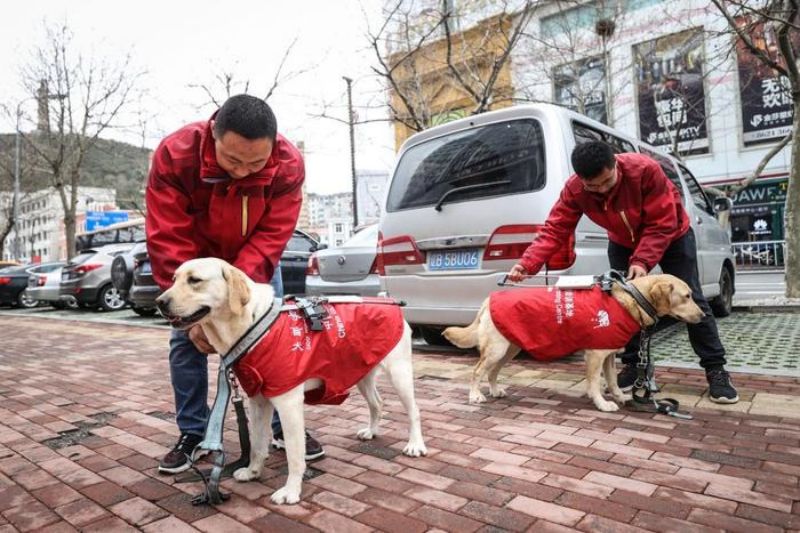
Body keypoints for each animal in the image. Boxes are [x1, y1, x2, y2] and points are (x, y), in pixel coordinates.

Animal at [158, 258, 432, 502]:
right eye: (173, 279)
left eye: (195, 280)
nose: (160, 302)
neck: (254, 324)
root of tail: (388, 300)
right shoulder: (259, 401)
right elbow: (257, 444)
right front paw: (253, 471)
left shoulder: (288, 402)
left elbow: (294, 455)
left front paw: (291, 491)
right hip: (359, 372)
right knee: (377, 404)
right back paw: (372, 431)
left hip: (399, 373)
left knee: (414, 411)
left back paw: (415, 445)